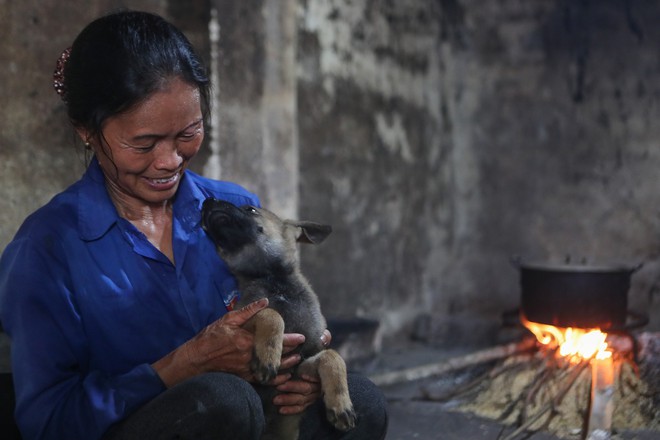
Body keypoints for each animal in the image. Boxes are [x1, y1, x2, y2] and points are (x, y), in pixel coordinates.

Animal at [201, 199, 356, 440]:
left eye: (251, 209)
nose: (208, 201)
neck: (274, 280)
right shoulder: (240, 319)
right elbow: (271, 314)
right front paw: (268, 355)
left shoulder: (300, 367)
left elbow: (332, 356)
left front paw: (341, 404)